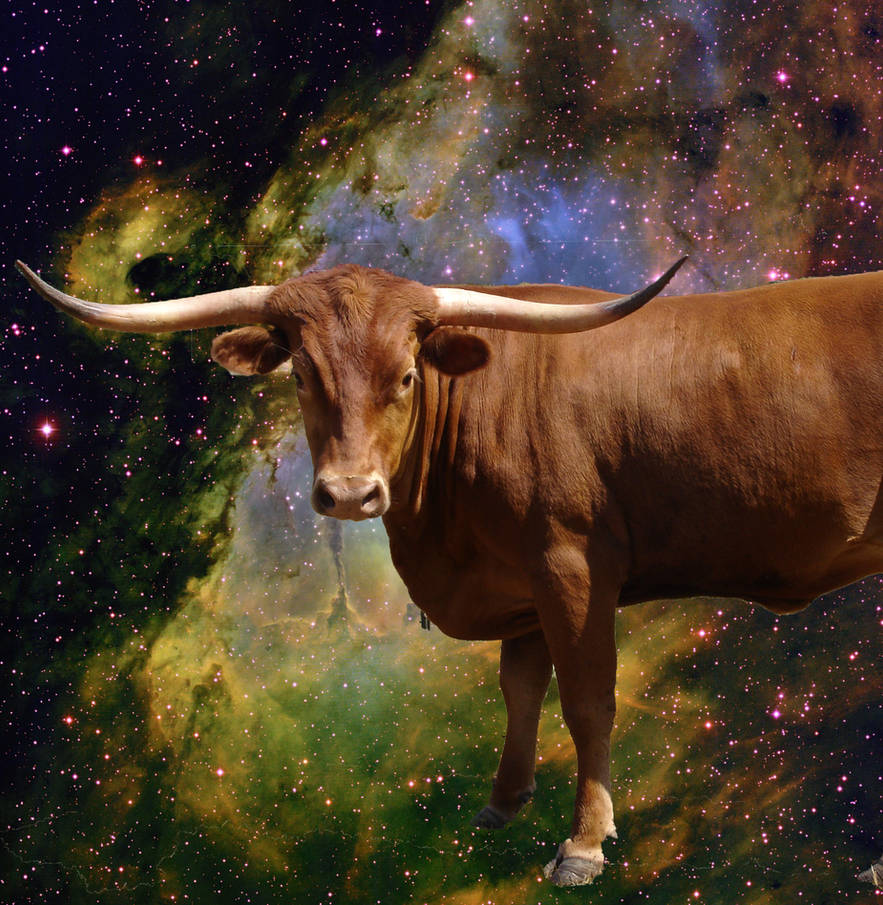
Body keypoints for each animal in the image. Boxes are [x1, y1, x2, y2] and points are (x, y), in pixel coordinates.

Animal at [16, 256, 883, 887]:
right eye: (300, 375)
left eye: (405, 375)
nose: (349, 493)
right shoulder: (523, 583)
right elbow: (520, 689)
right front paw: (504, 801)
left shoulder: (570, 566)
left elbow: (588, 702)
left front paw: (582, 843)